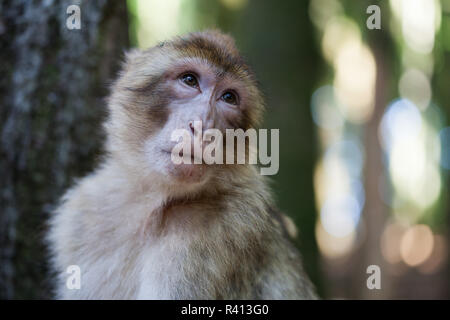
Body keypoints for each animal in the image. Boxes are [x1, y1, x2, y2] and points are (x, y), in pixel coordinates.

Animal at [46, 30, 316, 300]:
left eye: (229, 97)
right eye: (189, 80)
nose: (204, 127)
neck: (150, 202)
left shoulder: (215, 232)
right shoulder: (80, 215)